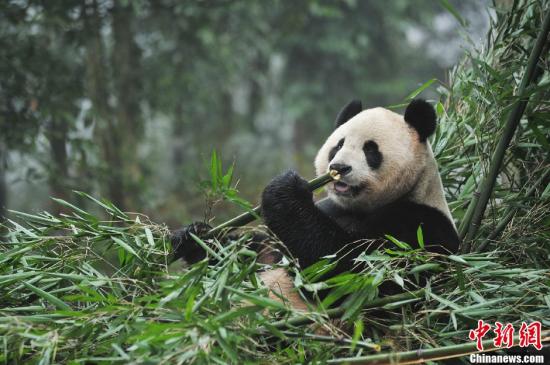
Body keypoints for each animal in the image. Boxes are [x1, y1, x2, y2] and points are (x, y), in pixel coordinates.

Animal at [172, 99, 462, 310]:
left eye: (370, 150)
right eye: (338, 145)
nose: (339, 168)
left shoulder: (420, 227)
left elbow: (353, 272)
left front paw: (285, 190)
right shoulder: (330, 208)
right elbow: (251, 254)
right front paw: (194, 238)